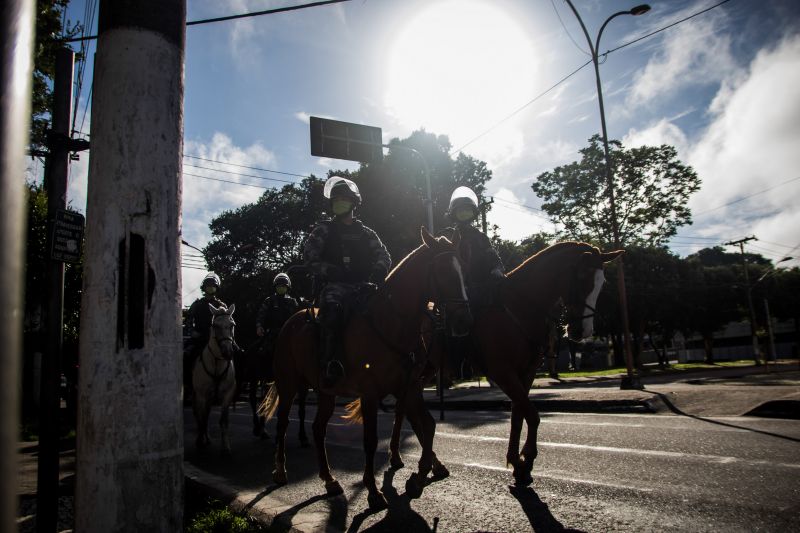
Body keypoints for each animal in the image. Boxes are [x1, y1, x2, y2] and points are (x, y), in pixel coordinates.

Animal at [191, 304, 236, 454]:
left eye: (232, 325)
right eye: (215, 325)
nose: (227, 352)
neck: (216, 362)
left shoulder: (227, 394)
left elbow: (223, 420)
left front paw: (226, 447)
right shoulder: (201, 395)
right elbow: (202, 417)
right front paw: (200, 441)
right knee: (199, 414)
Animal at [258, 227, 468, 510]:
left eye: (462, 269)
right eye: (443, 270)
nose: (463, 319)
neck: (392, 322)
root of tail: (289, 323)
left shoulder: (410, 388)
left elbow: (427, 425)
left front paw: (419, 476)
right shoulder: (370, 393)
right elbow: (370, 440)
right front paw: (373, 491)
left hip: (326, 391)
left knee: (318, 429)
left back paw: (329, 479)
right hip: (288, 385)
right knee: (282, 424)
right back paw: (280, 470)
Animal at [388, 243, 624, 484]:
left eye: (602, 282)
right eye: (582, 276)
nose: (582, 331)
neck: (519, 308)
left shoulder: (526, 373)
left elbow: (518, 415)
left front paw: (516, 458)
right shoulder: (502, 372)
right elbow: (532, 415)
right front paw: (526, 458)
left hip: (425, 370)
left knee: (405, 407)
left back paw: (413, 458)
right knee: (407, 408)